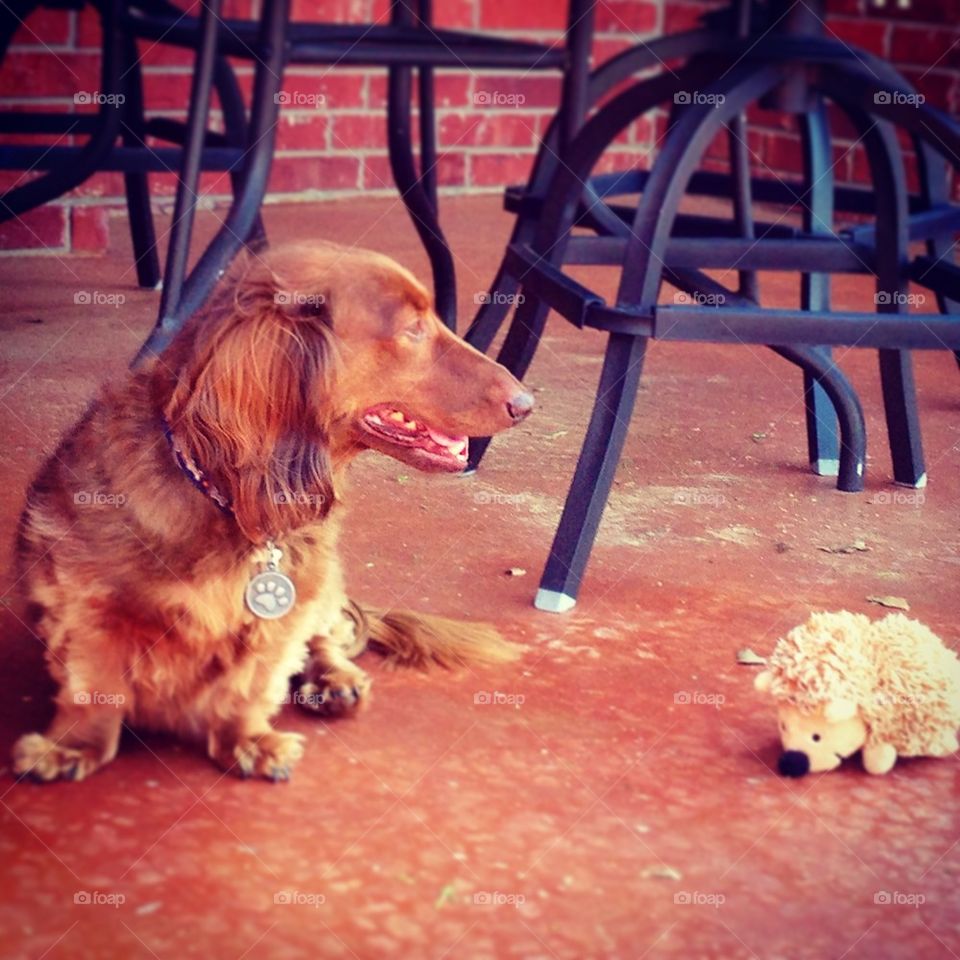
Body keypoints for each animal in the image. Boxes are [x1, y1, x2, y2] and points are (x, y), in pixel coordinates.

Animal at [11, 244, 528, 784]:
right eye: (413, 329)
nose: (527, 403)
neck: (224, 497)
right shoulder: (82, 599)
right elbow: (93, 685)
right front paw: (70, 747)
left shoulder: (286, 614)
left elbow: (251, 683)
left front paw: (247, 740)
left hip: (323, 585)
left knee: (327, 637)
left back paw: (335, 679)